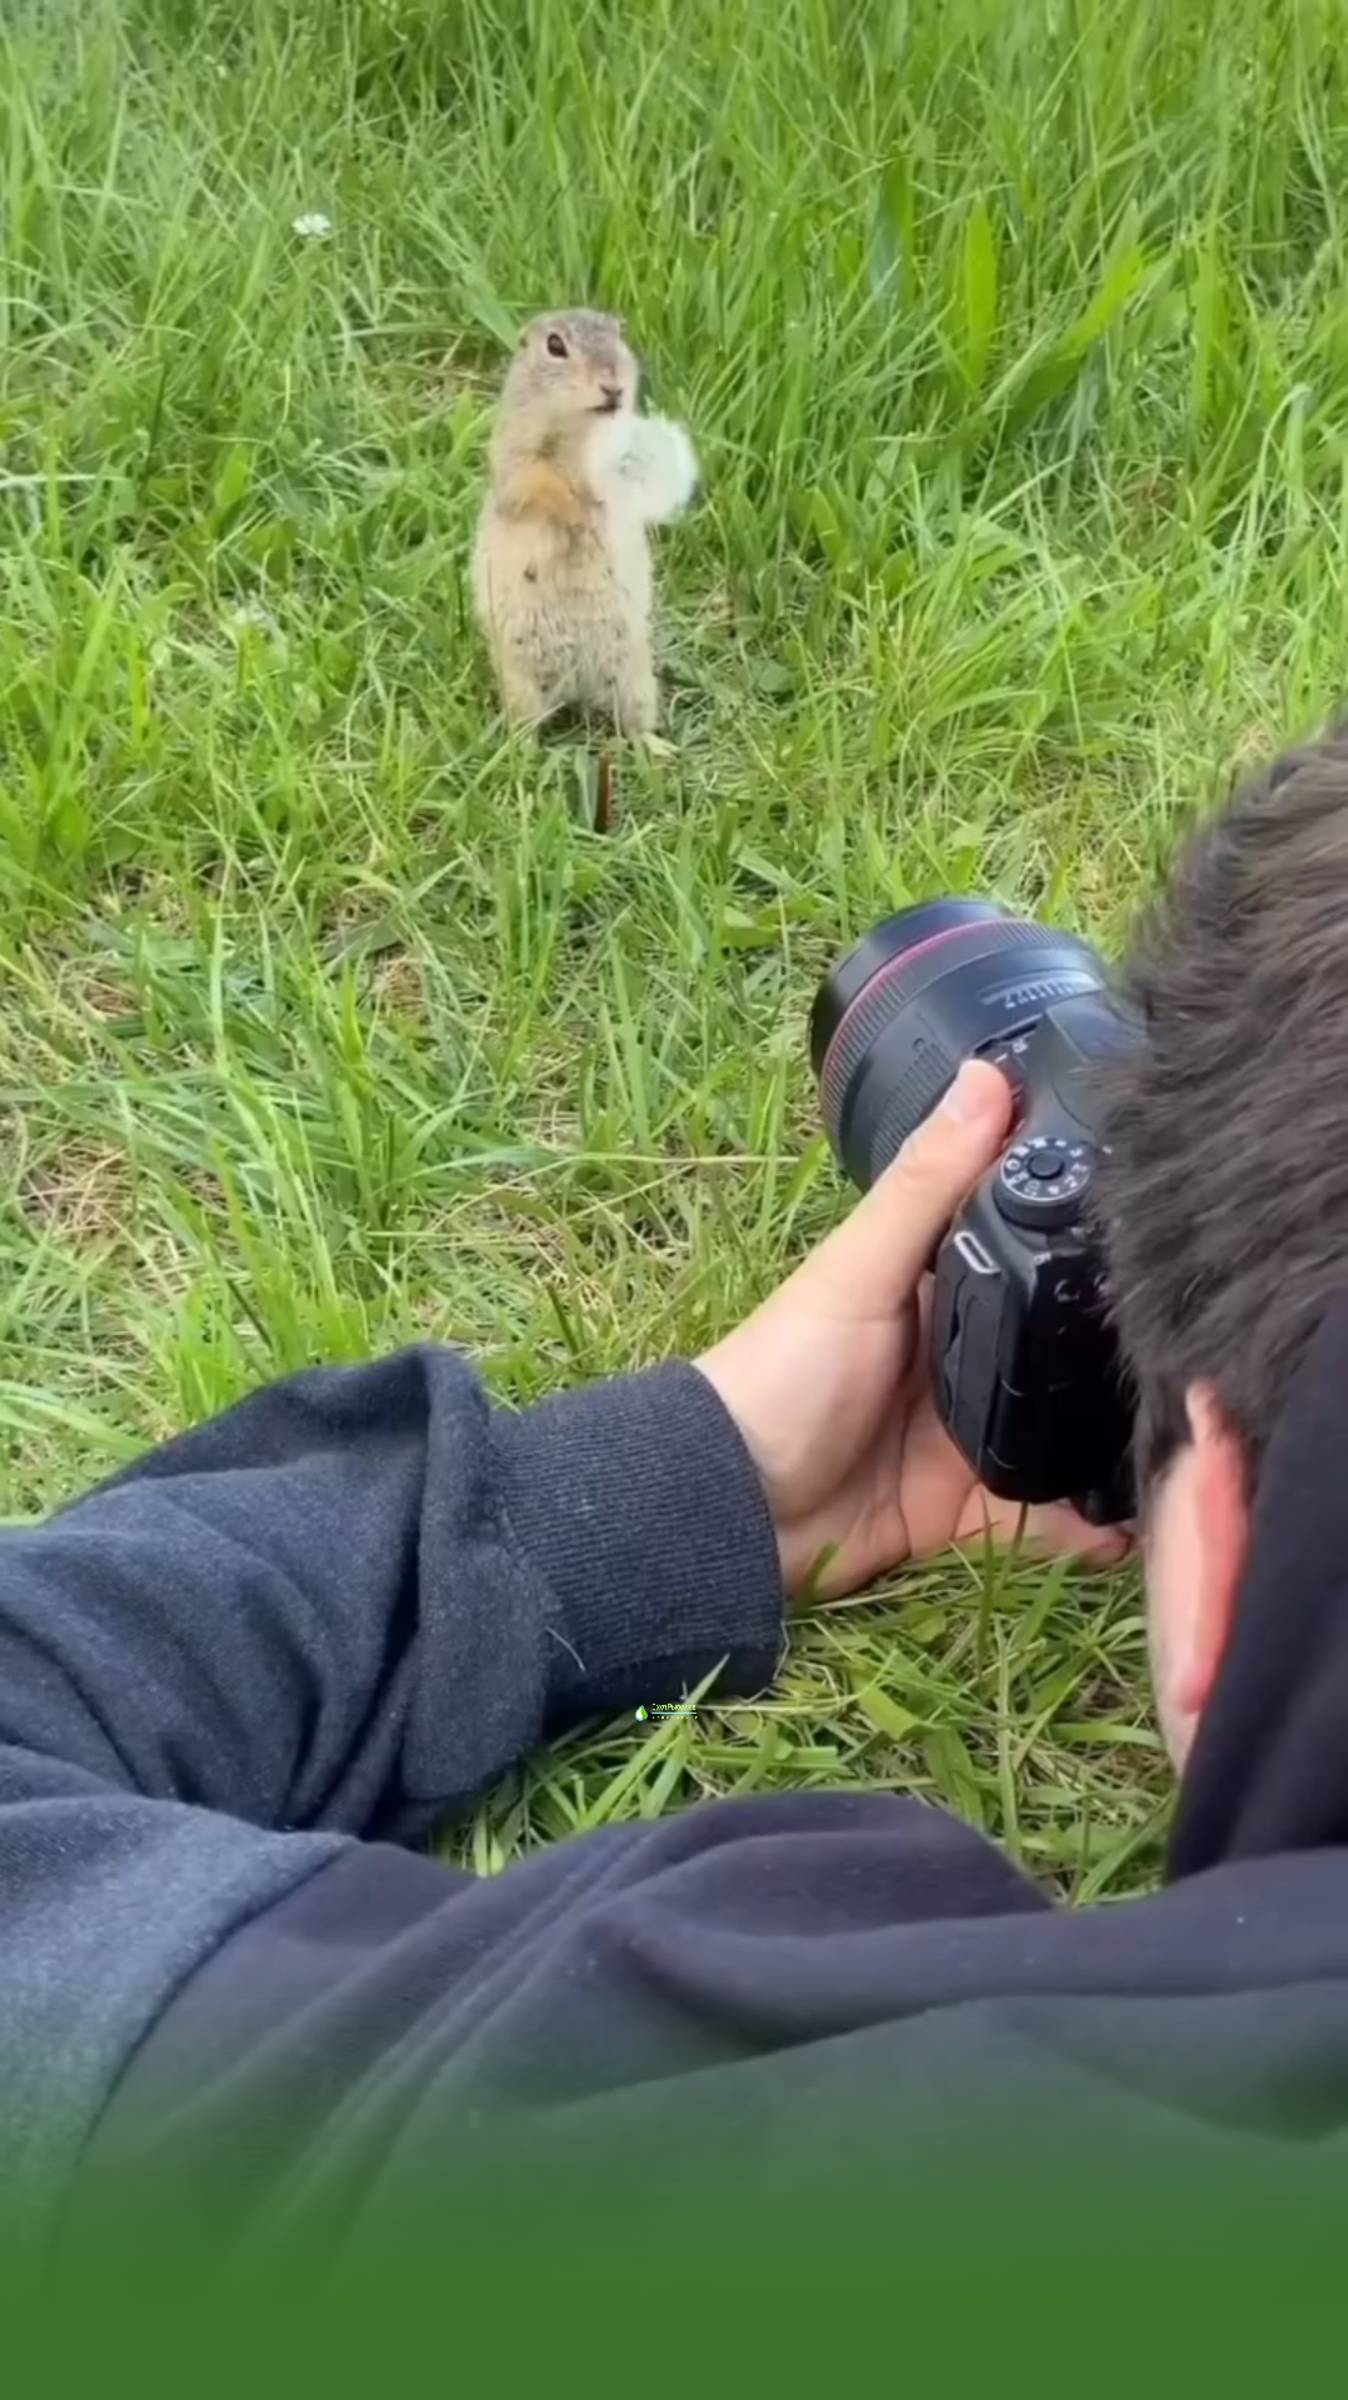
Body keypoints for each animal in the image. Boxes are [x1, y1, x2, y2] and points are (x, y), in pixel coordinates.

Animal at [472, 312, 695, 739]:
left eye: (620, 334)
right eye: (555, 345)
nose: (613, 387)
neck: (580, 434)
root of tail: (575, 689)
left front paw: (597, 510)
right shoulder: (517, 450)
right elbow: (534, 482)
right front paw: (578, 514)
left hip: (635, 681)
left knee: (633, 726)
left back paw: (656, 746)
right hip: (520, 683)